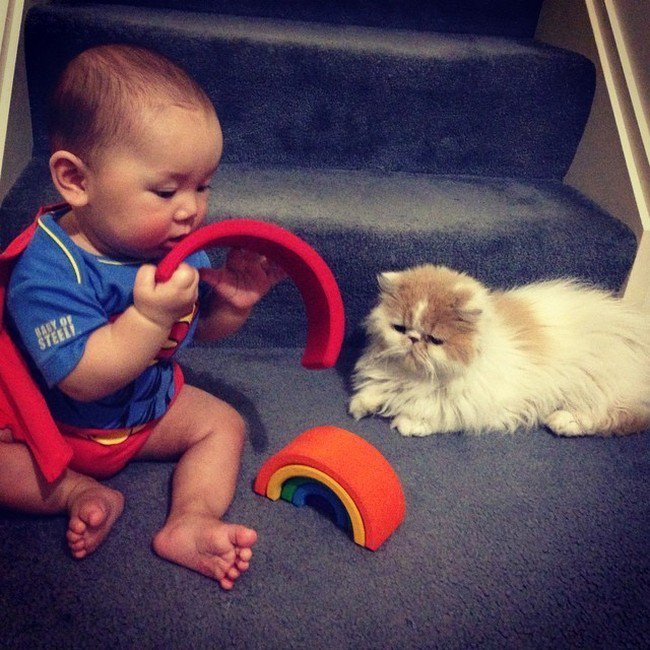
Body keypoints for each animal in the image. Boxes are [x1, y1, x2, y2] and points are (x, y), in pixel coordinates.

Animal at [350, 264, 648, 436]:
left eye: (434, 340)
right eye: (400, 328)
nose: (413, 339)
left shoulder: (473, 403)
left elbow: (436, 411)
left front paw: (407, 423)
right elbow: (377, 389)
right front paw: (361, 405)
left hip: (599, 386)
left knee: (619, 418)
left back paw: (563, 421)